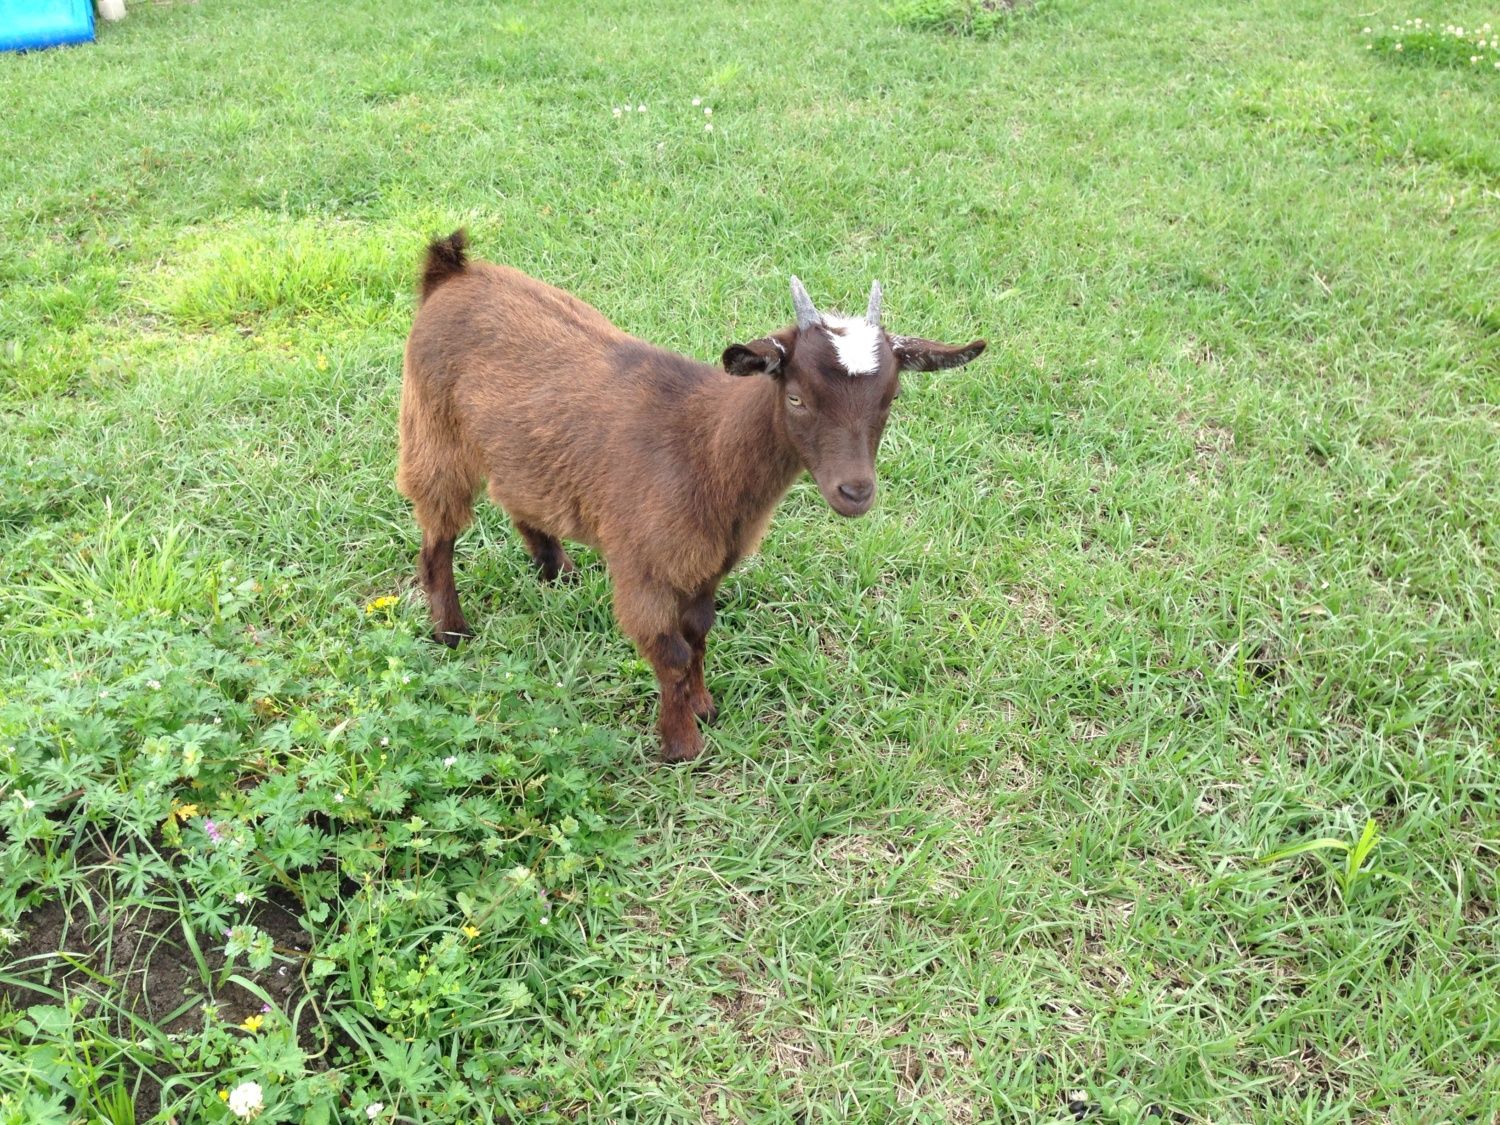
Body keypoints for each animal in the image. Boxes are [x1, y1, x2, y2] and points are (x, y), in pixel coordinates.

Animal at [396, 234, 984, 768]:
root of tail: (451, 271)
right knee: (437, 536)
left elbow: (699, 634)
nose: (856, 492)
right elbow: (671, 653)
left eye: (892, 397)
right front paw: (681, 745)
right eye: (796, 397)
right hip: (432, 430)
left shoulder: (709, 562)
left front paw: (704, 707)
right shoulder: (644, 568)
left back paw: (556, 570)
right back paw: (452, 632)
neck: (704, 447)